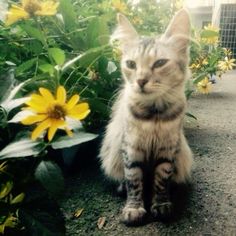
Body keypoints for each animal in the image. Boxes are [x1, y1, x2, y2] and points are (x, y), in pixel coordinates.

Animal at [99, 8, 194, 225]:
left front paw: (161, 205)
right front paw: (133, 209)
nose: (141, 81)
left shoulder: (168, 149)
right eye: (131, 64)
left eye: (160, 63)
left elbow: (161, 180)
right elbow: (134, 181)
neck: (154, 115)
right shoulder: (131, 149)